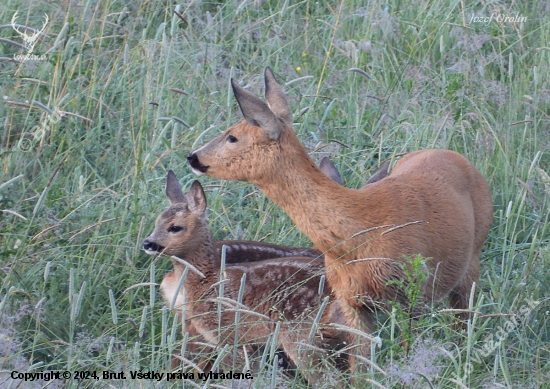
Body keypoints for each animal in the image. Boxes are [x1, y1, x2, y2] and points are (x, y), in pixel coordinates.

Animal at [143, 171, 350, 382]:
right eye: (156, 222)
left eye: (175, 227)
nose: (148, 243)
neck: (205, 281)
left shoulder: (229, 335)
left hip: (300, 332)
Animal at [188, 66, 494, 364]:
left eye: (232, 136)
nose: (192, 156)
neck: (358, 233)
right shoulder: (351, 302)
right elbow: (360, 365)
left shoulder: (413, 290)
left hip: (472, 261)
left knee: (464, 318)